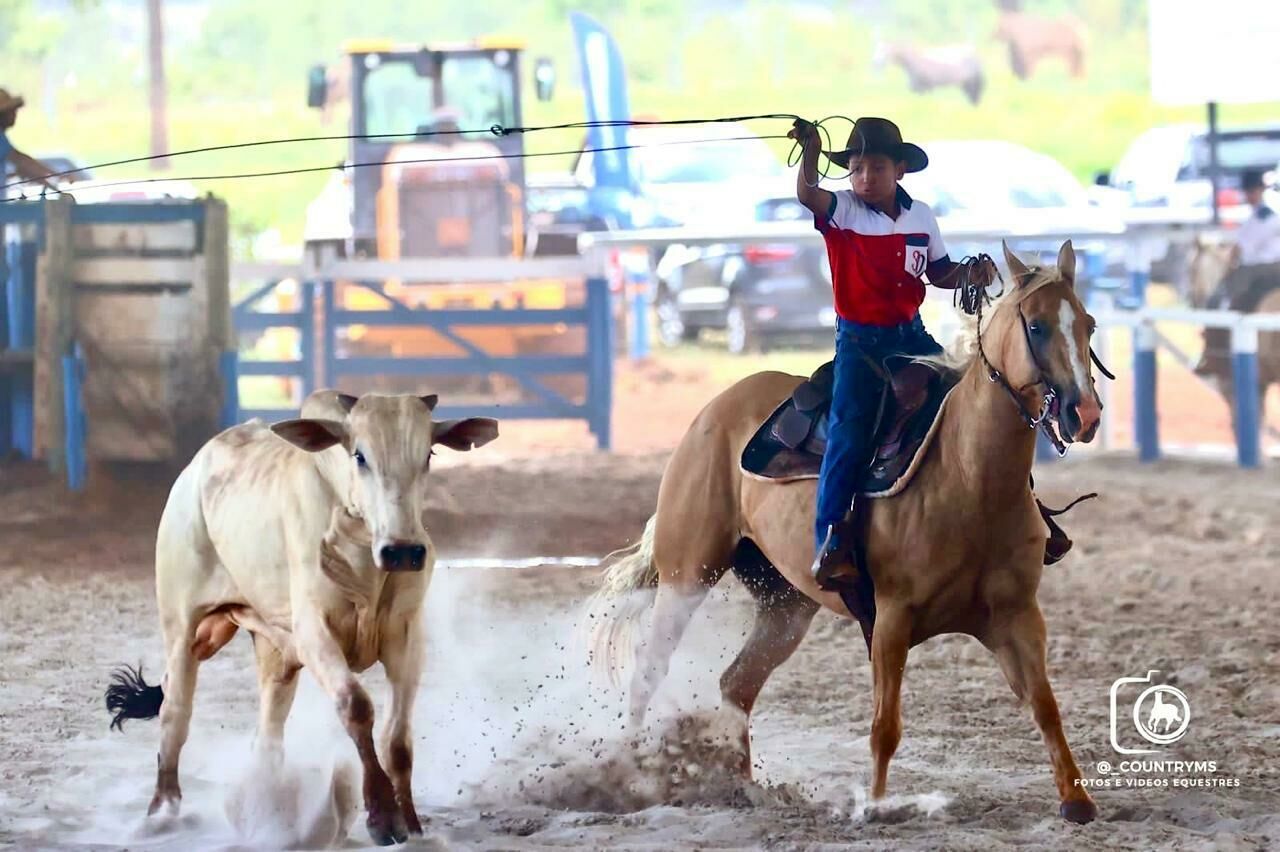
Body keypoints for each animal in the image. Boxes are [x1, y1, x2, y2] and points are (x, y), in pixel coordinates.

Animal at [106, 391, 499, 844]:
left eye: (429, 454)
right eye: (359, 455)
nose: (403, 551)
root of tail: (194, 469)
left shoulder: (406, 639)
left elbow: (398, 741)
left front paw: (413, 824)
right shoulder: (314, 634)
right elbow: (356, 706)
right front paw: (382, 816)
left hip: (274, 651)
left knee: (268, 735)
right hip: (183, 625)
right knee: (175, 712)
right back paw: (163, 812)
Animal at [588, 239, 1100, 823]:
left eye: (1088, 324)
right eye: (1036, 326)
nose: (1085, 414)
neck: (969, 475)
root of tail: (716, 410)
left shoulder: (1016, 615)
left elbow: (1045, 706)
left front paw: (1077, 800)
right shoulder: (892, 618)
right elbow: (885, 726)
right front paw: (875, 806)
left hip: (785, 605)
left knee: (736, 685)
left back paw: (742, 788)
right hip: (688, 574)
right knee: (648, 672)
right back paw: (628, 776)